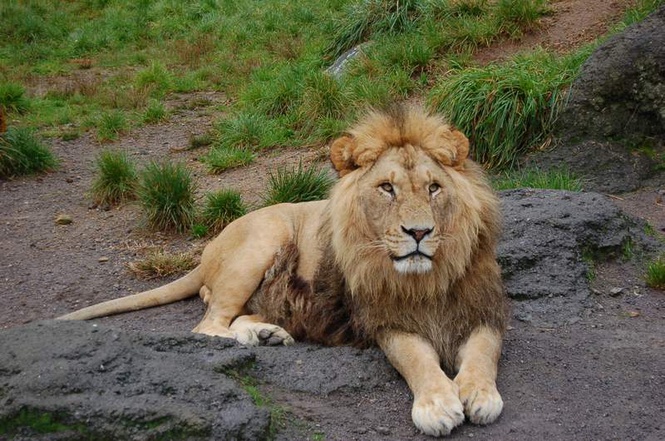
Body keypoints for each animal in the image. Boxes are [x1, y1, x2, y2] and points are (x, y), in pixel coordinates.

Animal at [59, 105, 508, 437]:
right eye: (387, 188)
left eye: (433, 188)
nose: (418, 232)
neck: (427, 279)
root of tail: (205, 252)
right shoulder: (384, 320)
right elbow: (416, 358)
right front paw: (438, 404)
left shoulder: (482, 309)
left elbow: (484, 351)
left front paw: (479, 393)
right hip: (265, 238)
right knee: (207, 326)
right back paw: (250, 339)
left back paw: (268, 334)